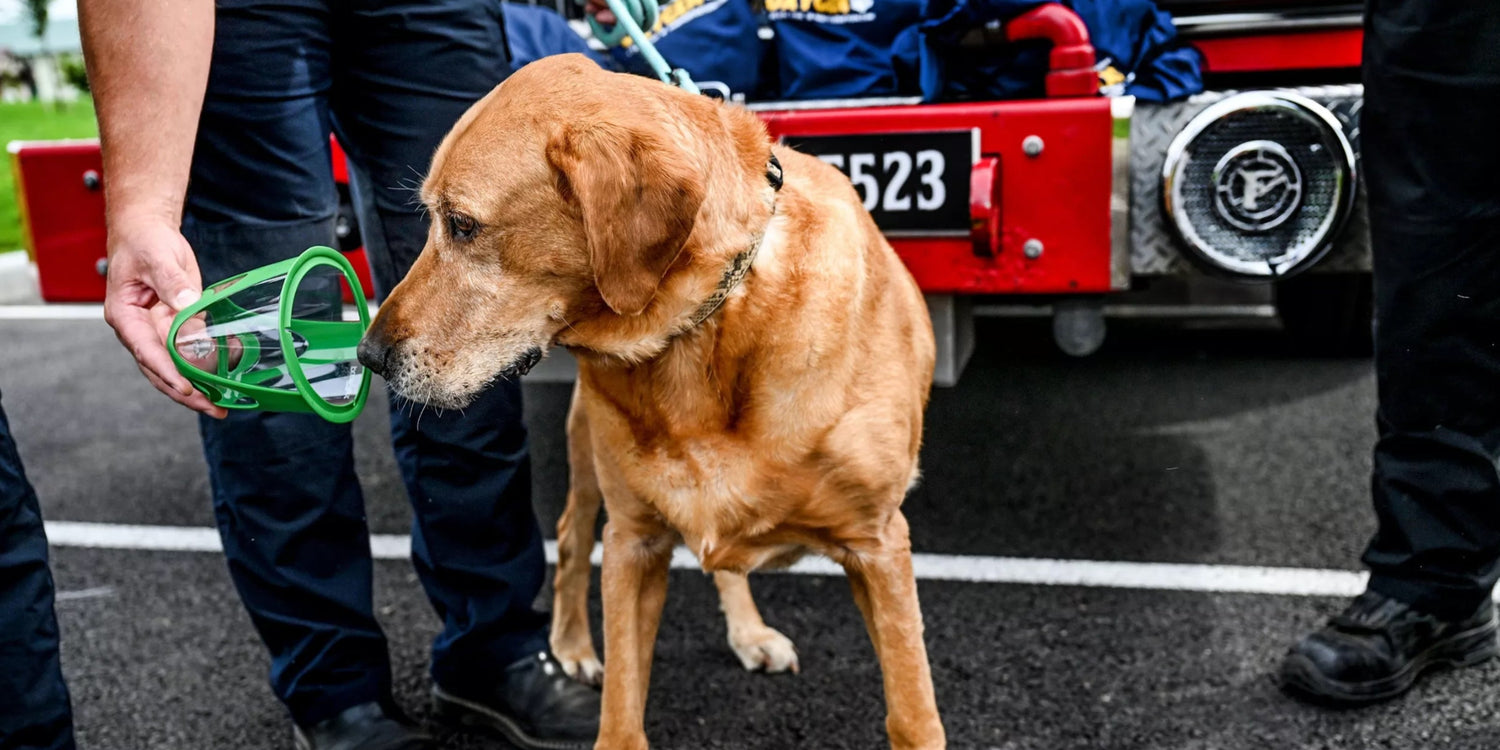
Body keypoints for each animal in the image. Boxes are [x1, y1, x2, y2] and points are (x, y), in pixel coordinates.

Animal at [358, 54, 942, 750]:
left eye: (463, 224)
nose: (367, 356)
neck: (702, 336)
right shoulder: (633, 545)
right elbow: (620, 711)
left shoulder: (879, 548)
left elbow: (912, 713)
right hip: (589, 461)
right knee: (572, 536)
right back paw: (572, 648)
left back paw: (747, 631)